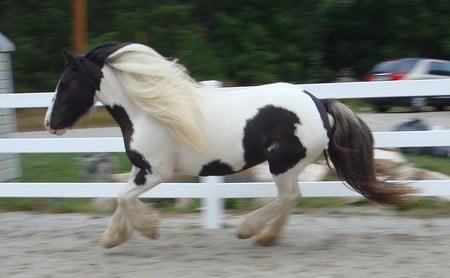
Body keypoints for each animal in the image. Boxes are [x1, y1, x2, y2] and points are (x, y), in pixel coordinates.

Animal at [44, 43, 416, 248]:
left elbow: (123, 197)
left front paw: (147, 230)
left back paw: (249, 230)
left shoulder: (157, 172)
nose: (49, 123)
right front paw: (114, 237)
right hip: (289, 166)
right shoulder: (141, 169)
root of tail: (318, 103)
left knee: (288, 197)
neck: (147, 111)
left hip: (281, 164)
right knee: (291, 199)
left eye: (66, 82)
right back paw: (266, 237)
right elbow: (121, 196)